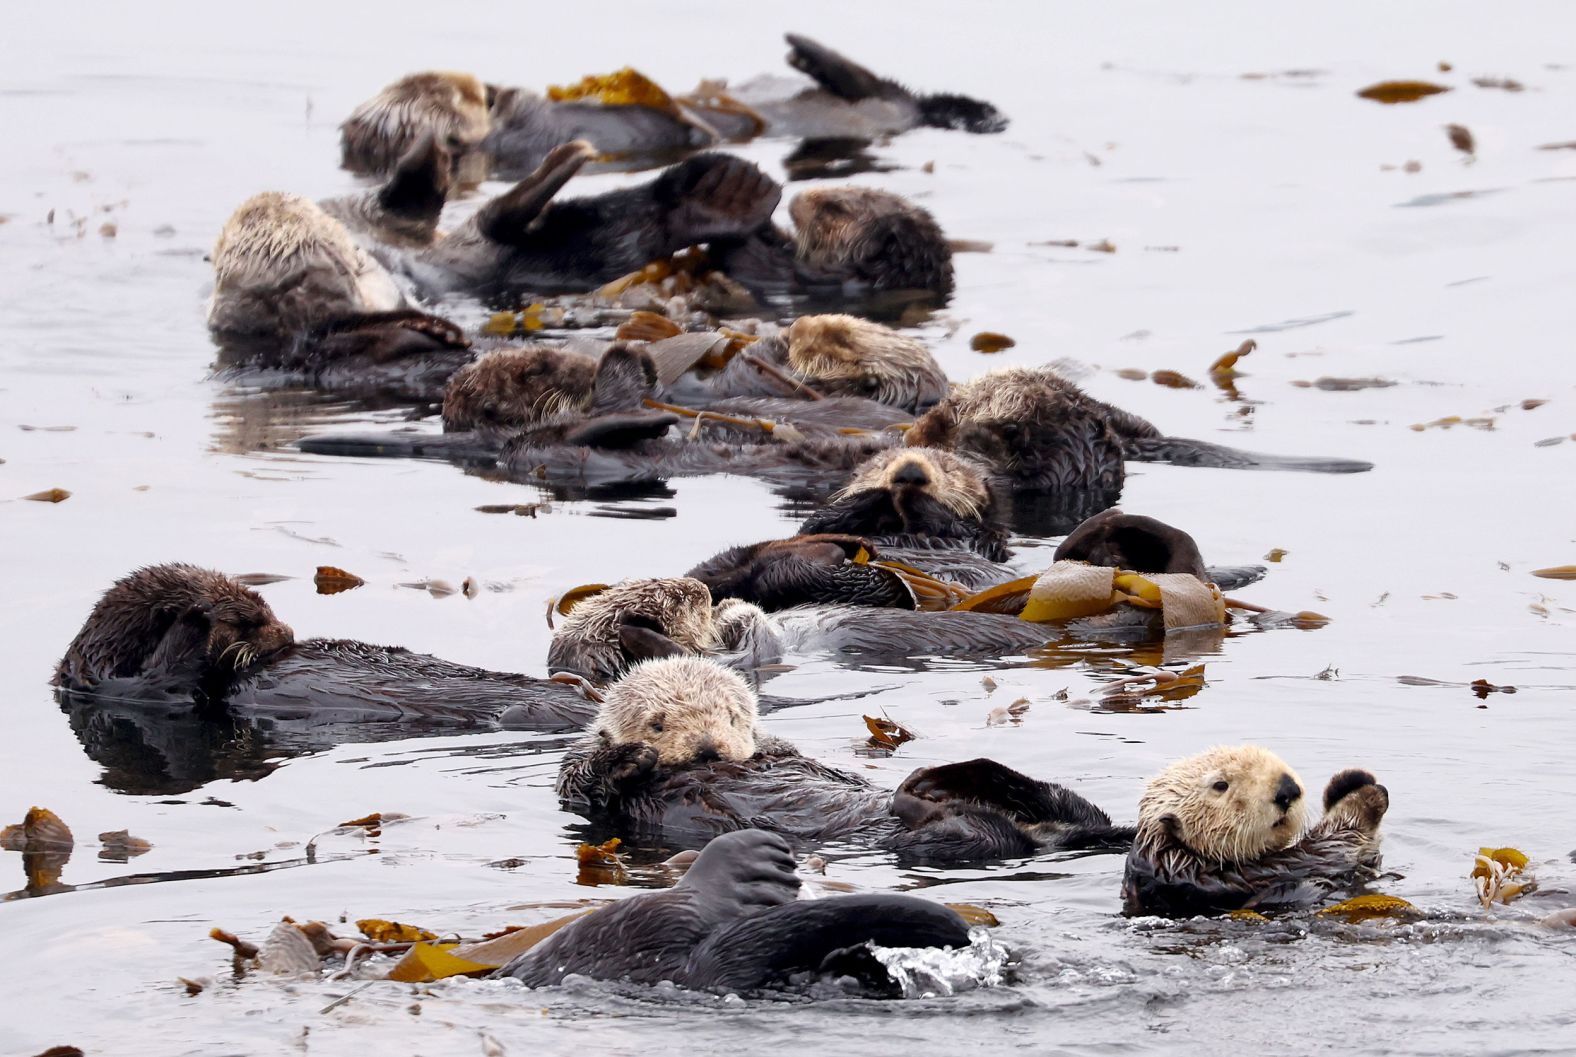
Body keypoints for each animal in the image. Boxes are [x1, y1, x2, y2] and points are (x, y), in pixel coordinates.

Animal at [55, 560, 592, 737]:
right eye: (248, 621)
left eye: (265, 606)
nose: (288, 634)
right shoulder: (129, 689)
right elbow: (175, 677)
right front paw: (199, 615)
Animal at [554, 658, 1134, 863]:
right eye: (658, 723)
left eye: (732, 718)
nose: (708, 750)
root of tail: (1045, 836)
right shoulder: (578, 785)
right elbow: (585, 778)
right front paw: (632, 756)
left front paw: (776, 747)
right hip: (944, 839)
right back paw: (929, 788)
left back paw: (948, 777)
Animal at [1122, 743, 1393, 919]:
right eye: (1220, 785)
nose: (1287, 789)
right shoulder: (1243, 877)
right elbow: (1329, 847)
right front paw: (1366, 798)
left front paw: (1351, 779)